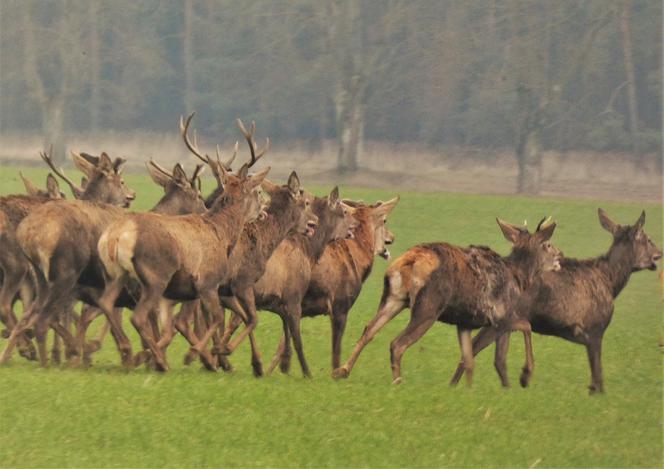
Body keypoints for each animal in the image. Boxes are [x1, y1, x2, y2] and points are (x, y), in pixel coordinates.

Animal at [219, 187, 358, 376]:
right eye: (344, 211)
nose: (356, 223)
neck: (310, 251)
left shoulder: (280, 302)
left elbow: (286, 333)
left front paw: (284, 363)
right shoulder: (293, 297)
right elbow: (297, 338)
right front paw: (306, 372)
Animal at [332, 216, 560, 384]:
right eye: (547, 244)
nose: (560, 256)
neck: (519, 278)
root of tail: (409, 261)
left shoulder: (465, 322)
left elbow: (469, 360)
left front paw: (462, 389)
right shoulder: (500, 316)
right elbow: (523, 330)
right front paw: (525, 374)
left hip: (394, 298)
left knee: (369, 330)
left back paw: (342, 370)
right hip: (427, 308)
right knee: (397, 343)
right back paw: (398, 382)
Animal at [448, 207, 660, 394]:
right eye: (648, 239)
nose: (659, 253)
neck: (610, 282)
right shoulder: (596, 327)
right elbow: (598, 374)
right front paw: (597, 393)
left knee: (496, 358)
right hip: (500, 316)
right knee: (476, 348)